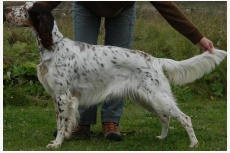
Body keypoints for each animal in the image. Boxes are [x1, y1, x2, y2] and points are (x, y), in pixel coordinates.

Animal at [4, 1, 226, 149]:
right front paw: (65, 136)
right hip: (147, 98)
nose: (6, 10)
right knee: (165, 118)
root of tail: (155, 59)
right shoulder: (59, 97)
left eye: (25, 8)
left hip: (157, 96)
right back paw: (162, 138)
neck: (53, 46)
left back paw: (194, 143)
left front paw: (56, 143)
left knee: (184, 117)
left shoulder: (63, 96)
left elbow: (61, 121)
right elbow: (63, 120)